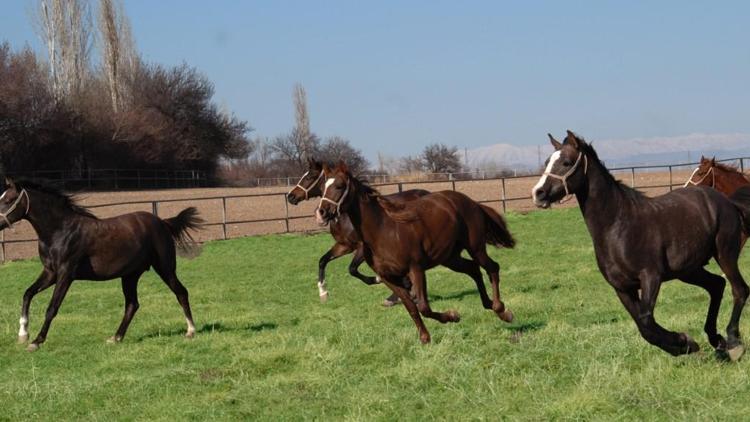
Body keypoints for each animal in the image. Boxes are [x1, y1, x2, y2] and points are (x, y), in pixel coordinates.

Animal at [0, 176, 203, 352]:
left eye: (8, 200)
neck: (60, 231)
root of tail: (163, 222)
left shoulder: (66, 274)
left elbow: (51, 308)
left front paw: (36, 341)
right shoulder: (50, 272)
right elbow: (27, 294)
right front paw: (23, 335)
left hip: (165, 268)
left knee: (181, 292)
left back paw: (191, 331)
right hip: (130, 275)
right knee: (132, 304)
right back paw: (116, 337)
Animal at [286, 157, 428, 304]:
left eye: (309, 177)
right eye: (325, 186)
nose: (290, 197)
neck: (346, 218)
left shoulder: (361, 247)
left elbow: (352, 269)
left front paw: (377, 279)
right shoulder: (344, 246)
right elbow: (323, 260)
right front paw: (323, 292)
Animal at [316, 162, 516, 342]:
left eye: (339, 186)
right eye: (323, 187)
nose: (322, 212)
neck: (383, 231)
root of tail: (472, 202)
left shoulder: (416, 269)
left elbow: (423, 307)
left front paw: (453, 316)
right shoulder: (388, 277)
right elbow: (411, 307)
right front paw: (425, 337)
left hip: (475, 248)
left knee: (492, 268)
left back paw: (501, 310)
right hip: (450, 258)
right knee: (474, 270)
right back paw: (490, 305)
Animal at [536, 131, 750, 360]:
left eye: (566, 162)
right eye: (547, 162)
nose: (538, 193)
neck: (617, 225)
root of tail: (727, 202)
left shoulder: (650, 277)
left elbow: (646, 321)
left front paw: (684, 342)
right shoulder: (621, 287)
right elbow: (643, 326)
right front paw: (685, 344)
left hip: (725, 254)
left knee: (739, 289)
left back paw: (733, 342)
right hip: (688, 270)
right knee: (717, 285)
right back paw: (716, 340)